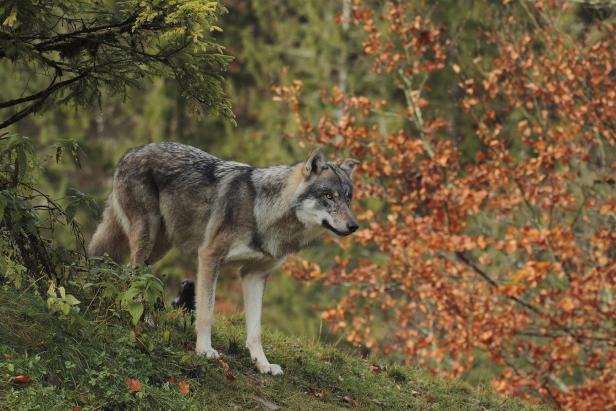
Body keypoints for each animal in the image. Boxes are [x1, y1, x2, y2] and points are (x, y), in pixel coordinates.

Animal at [88, 142, 358, 376]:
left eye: (348, 198)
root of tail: (131, 151)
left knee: (132, 272)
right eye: (329, 196)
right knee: (131, 273)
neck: (264, 212)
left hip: (160, 245)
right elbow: (206, 312)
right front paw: (204, 350)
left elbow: (255, 330)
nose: (354, 226)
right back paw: (139, 318)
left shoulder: (254, 275)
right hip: (148, 234)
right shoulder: (209, 256)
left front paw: (263, 365)